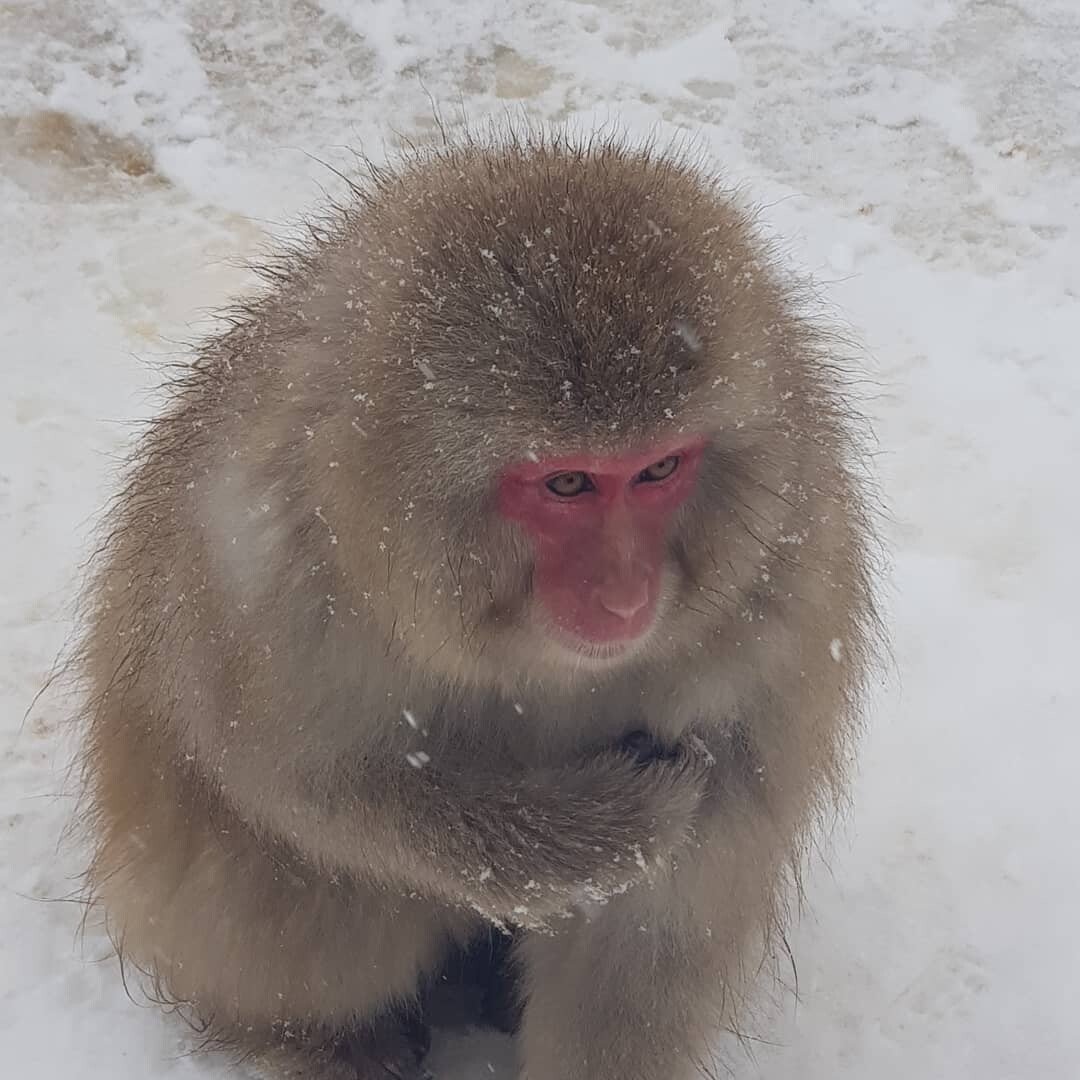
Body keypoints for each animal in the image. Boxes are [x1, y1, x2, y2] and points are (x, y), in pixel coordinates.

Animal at [79, 132, 881, 1080]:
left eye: (658, 470)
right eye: (567, 483)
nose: (625, 597)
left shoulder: (785, 601)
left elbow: (659, 921)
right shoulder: (274, 562)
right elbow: (297, 776)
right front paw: (600, 831)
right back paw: (316, 1039)